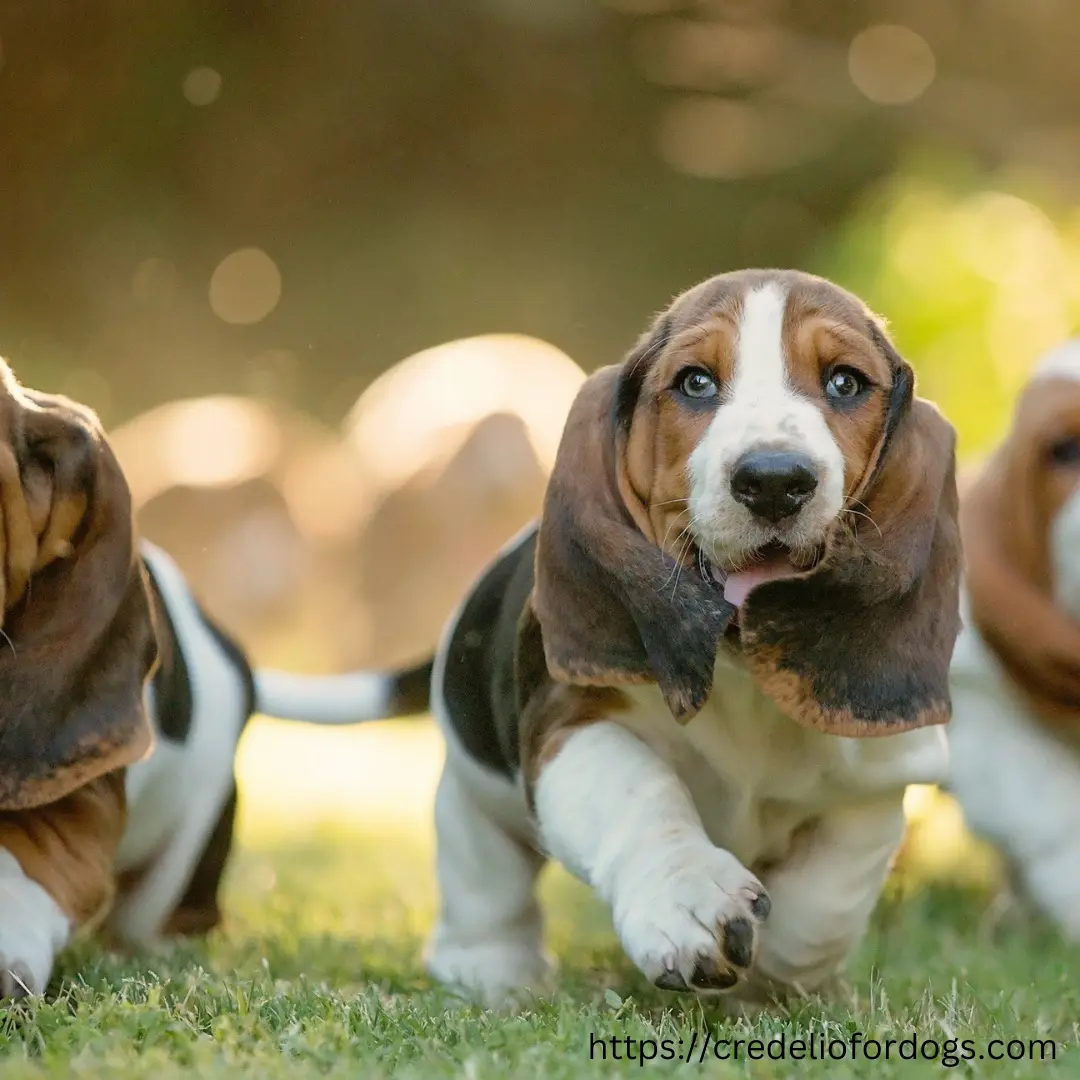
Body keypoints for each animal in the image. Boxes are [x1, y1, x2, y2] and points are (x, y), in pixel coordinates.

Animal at [406, 267, 963, 1002]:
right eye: (695, 382)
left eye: (845, 383)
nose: (775, 480)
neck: (742, 663)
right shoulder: (574, 725)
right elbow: (641, 798)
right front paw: (690, 902)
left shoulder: (876, 782)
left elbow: (828, 896)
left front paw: (777, 970)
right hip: (472, 792)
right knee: (483, 875)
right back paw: (491, 968)